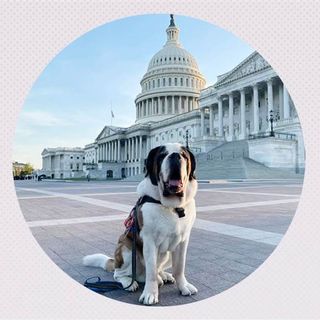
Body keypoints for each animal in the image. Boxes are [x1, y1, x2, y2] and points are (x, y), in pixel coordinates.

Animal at [82, 143, 198, 304]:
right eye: (162, 155)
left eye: (184, 155)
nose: (175, 156)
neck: (171, 206)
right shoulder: (149, 241)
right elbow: (151, 271)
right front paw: (150, 294)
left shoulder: (182, 241)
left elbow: (179, 267)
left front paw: (183, 286)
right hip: (126, 248)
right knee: (119, 274)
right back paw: (129, 283)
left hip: (167, 254)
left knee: (159, 270)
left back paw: (164, 276)